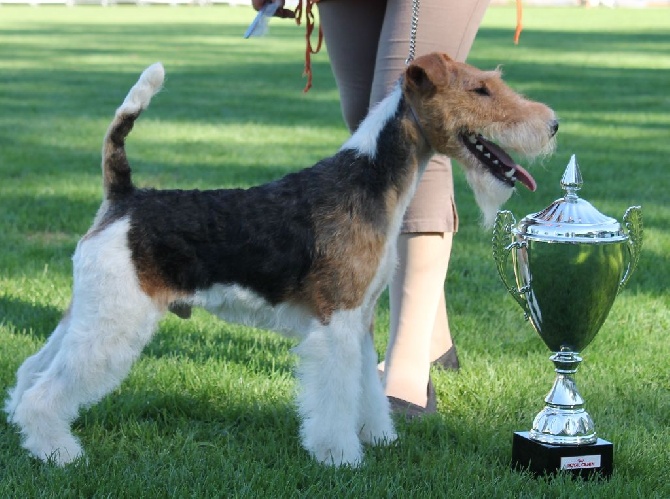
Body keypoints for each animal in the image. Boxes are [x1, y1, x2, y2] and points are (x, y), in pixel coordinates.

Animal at [5, 52, 560, 466]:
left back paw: (22, 428)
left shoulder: (359, 320)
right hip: (115, 319)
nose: (553, 125)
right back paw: (57, 451)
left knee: (33, 369)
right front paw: (340, 456)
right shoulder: (336, 322)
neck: (370, 179)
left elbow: (367, 386)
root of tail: (123, 199)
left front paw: (377, 435)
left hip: (91, 310)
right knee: (47, 389)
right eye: (480, 90)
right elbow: (335, 395)